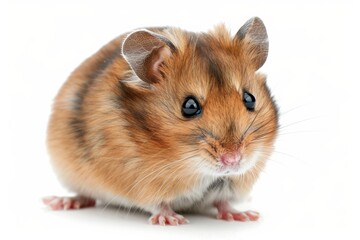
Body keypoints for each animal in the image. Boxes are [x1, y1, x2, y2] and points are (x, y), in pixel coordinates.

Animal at [44, 16, 278, 225]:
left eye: (250, 98)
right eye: (189, 106)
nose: (233, 159)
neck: (194, 169)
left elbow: (223, 202)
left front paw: (245, 216)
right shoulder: (140, 183)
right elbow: (158, 204)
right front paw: (172, 220)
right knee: (84, 194)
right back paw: (59, 202)